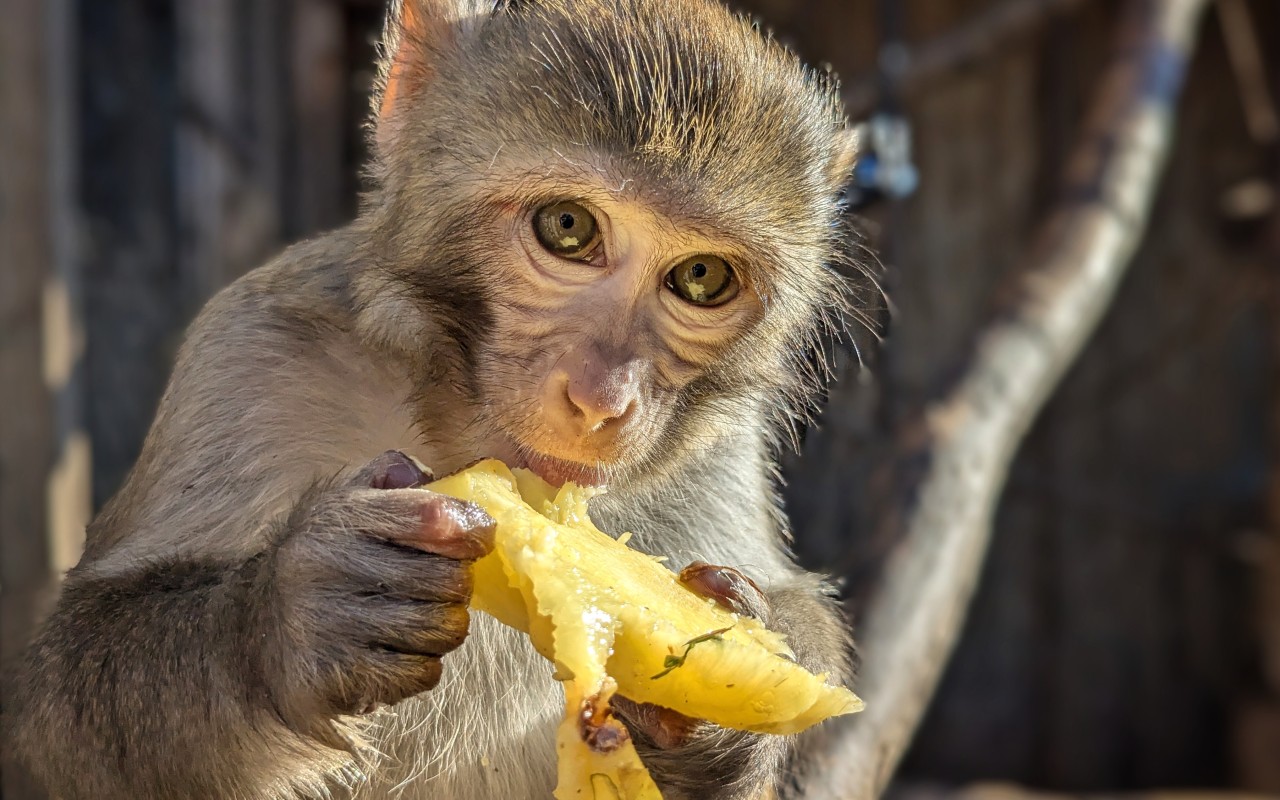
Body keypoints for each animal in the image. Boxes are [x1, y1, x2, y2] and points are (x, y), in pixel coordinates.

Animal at [7, 0, 860, 793]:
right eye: (568, 227)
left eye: (701, 277)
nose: (601, 399)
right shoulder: (252, 353)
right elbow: (58, 715)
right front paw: (285, 621)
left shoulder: (726, 445)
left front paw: (731, 704)